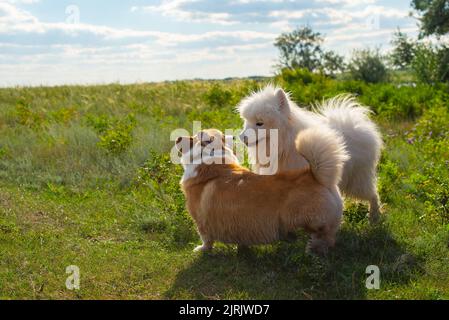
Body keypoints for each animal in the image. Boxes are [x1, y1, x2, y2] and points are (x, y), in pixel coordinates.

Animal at [177, 127, 348, 255]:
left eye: (193, 137)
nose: (177, 138)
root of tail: (316, 176)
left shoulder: (200, 220)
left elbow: (206, 239)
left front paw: (201, 250)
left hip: (311, 221)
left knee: (324, 237)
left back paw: (313, 251)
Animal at [238, 86, 382, 224]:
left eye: (259, 123)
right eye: (247, 122)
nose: (241, 137)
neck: (284, 145)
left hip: (357, 181)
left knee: (373, 195)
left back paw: (374, 218)